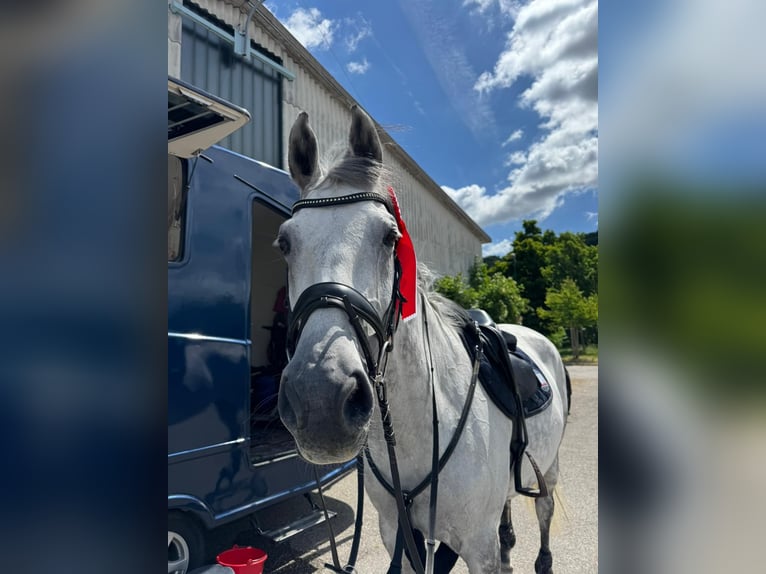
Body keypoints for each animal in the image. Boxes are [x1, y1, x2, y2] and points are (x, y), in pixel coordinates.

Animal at [276, 106, 569, 574]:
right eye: (285, 242)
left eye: (389, 237)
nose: (320, 401)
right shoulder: (397, 533)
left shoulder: (477, 547)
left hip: (550, 467)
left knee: (543, 514)